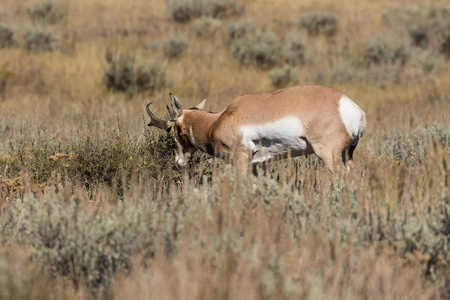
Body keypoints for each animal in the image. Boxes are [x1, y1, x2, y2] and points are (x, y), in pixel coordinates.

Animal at [148, 85, 366, 172]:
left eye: (170, 130)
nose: (179, 162)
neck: (218, 120)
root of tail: (353, 108)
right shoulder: (256, 163)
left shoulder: (240, 159)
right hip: (348, 155)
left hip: (330, 156)